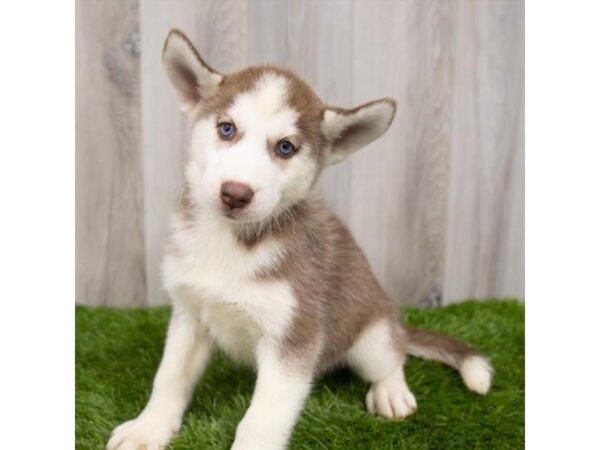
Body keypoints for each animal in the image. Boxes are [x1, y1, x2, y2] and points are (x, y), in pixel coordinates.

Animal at [108, 29, 492, 450]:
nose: (235, 193)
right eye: (226, 128)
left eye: (285, 147)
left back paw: (390, 390)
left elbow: (261, 420)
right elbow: (169, 378)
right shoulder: (190, 315)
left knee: (392, 357)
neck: (231, 243)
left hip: (370, 334)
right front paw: (148, 427)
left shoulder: (294, 339)